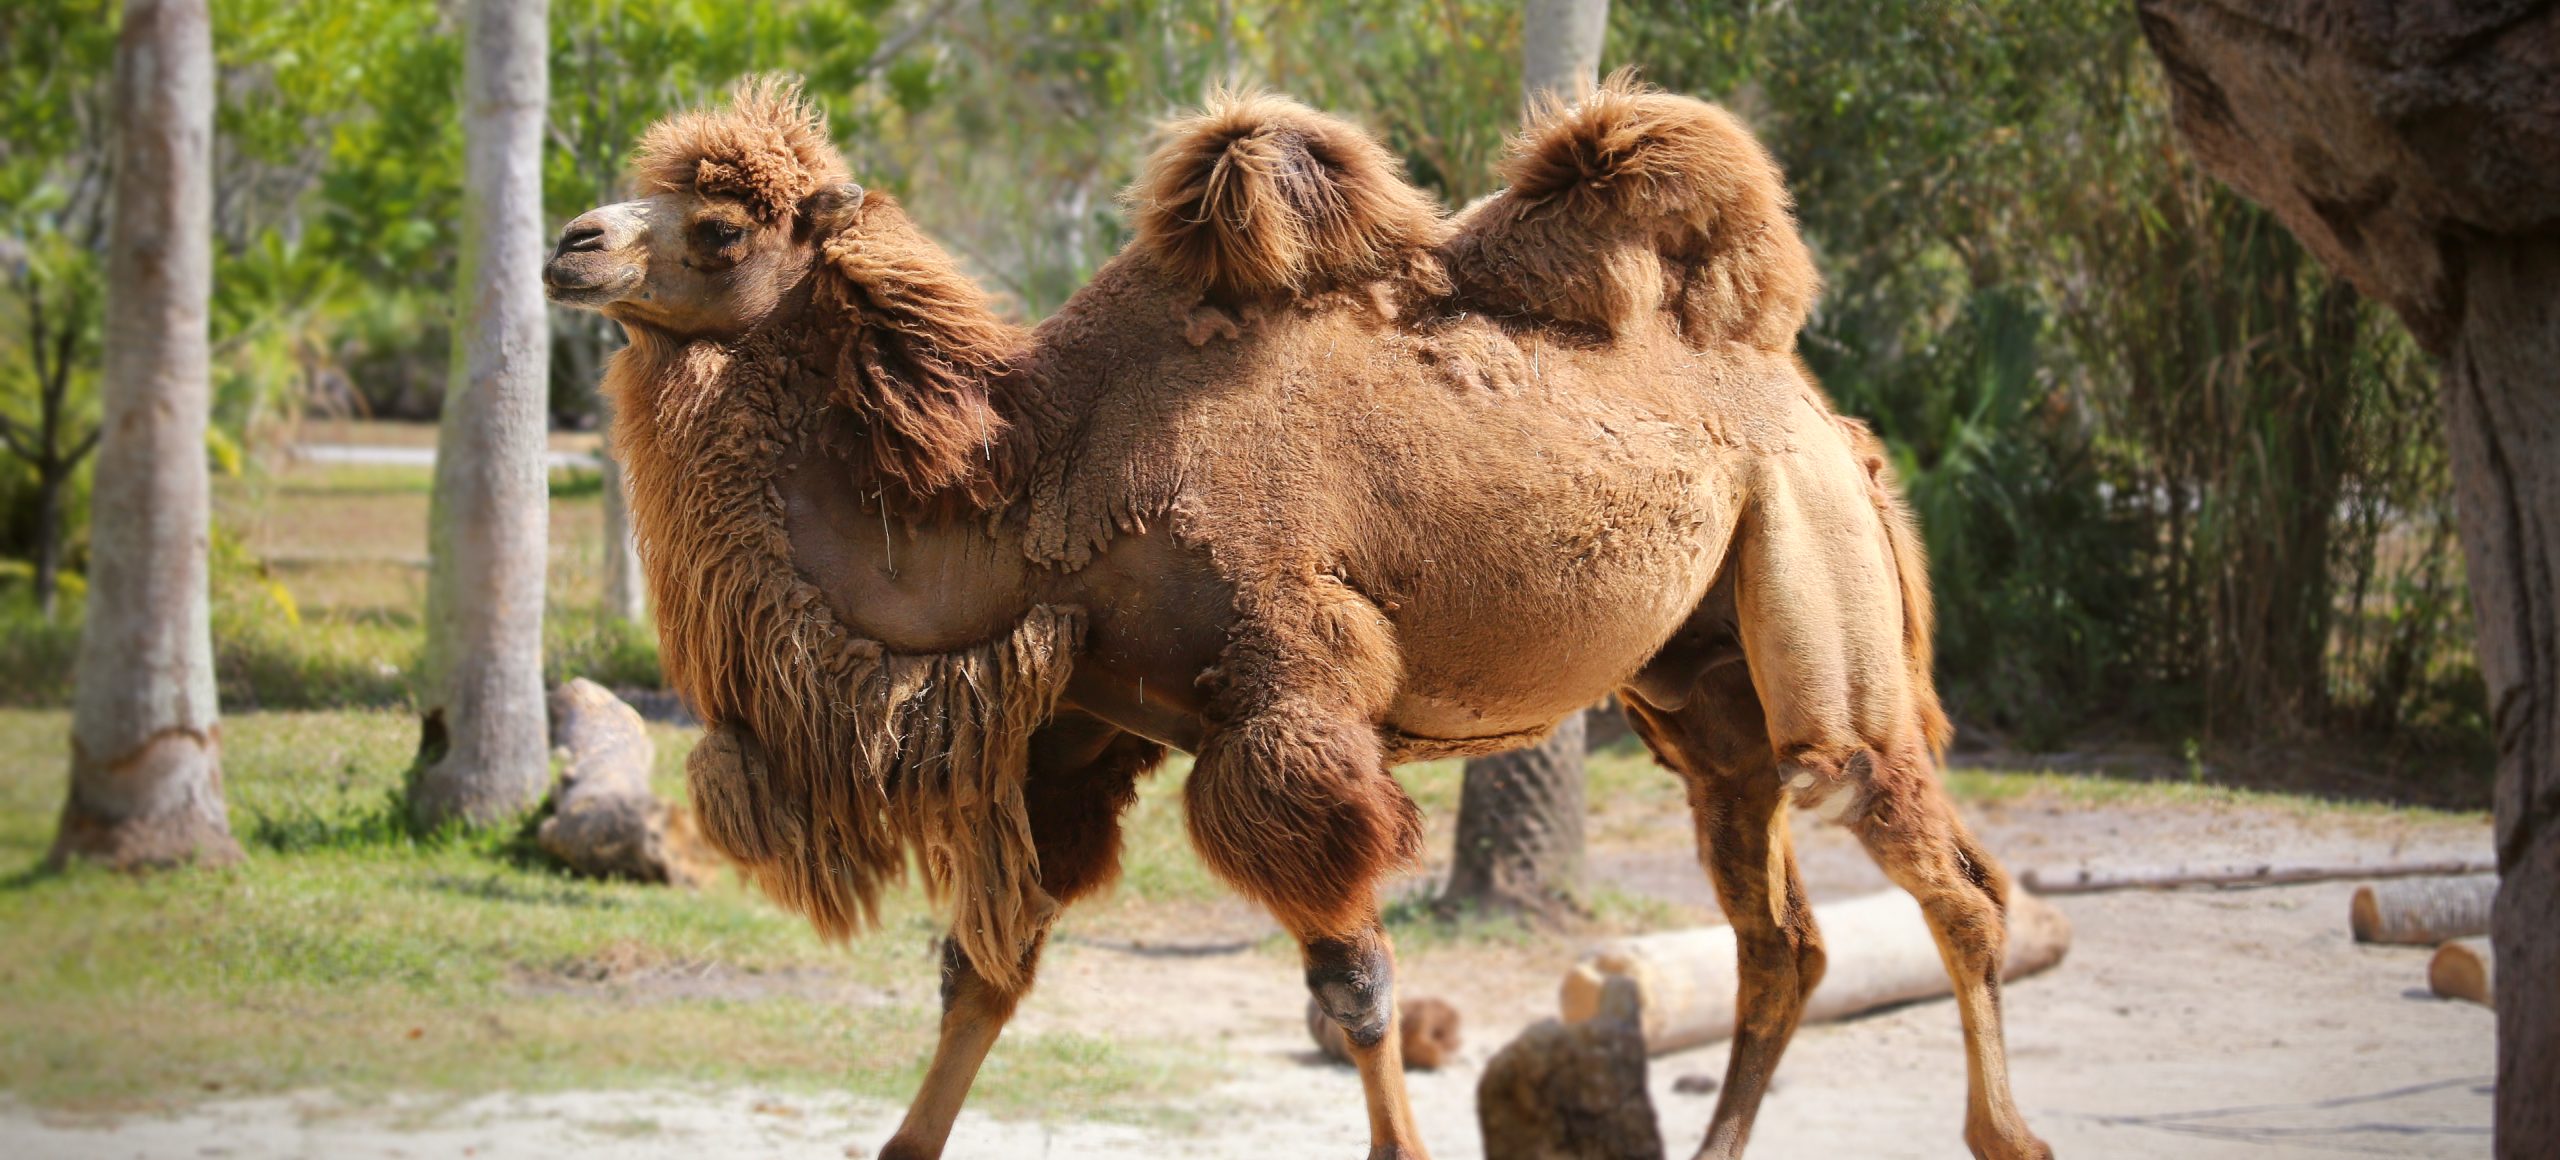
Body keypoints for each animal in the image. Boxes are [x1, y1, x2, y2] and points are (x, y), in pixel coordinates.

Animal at [545, 79, 2058, 1157]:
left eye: (719, 228)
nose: (569, 244)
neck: (1035, 483)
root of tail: (1824, 411)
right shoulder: (1080, 727)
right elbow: (986, 967)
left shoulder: (1290, 710)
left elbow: (1356, 987)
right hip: (1703, 692)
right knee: (1780, 938)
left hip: (1811, 567)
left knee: (1925, 854)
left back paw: (2011, 1131)